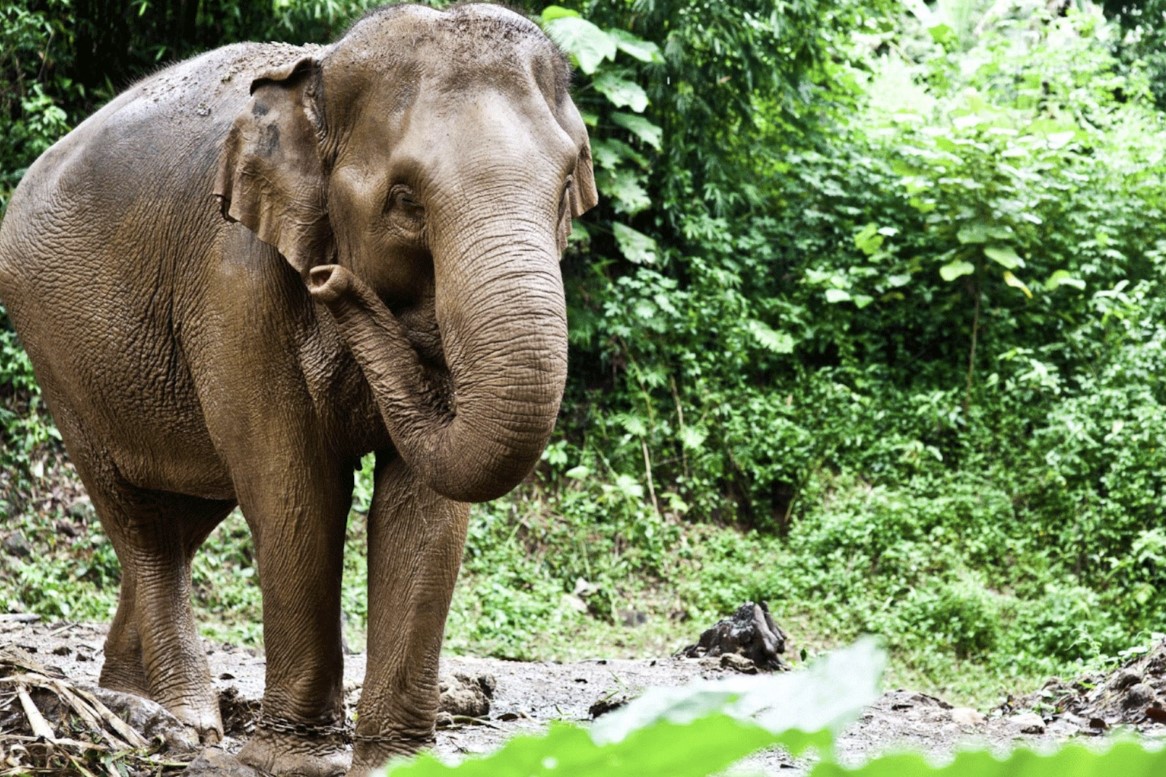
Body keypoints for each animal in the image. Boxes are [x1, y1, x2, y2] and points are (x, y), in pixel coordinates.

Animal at [0, 3, 596, 770]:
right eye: (405, 199)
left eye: (566, 187)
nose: (328, 278)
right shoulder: (236, 283)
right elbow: (297, 489)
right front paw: (291, 761)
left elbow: (425, 508)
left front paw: (396, 764)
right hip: (57, 350)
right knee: (141, 520)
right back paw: (186, 722)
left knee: (190, 513)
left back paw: (124, 698)